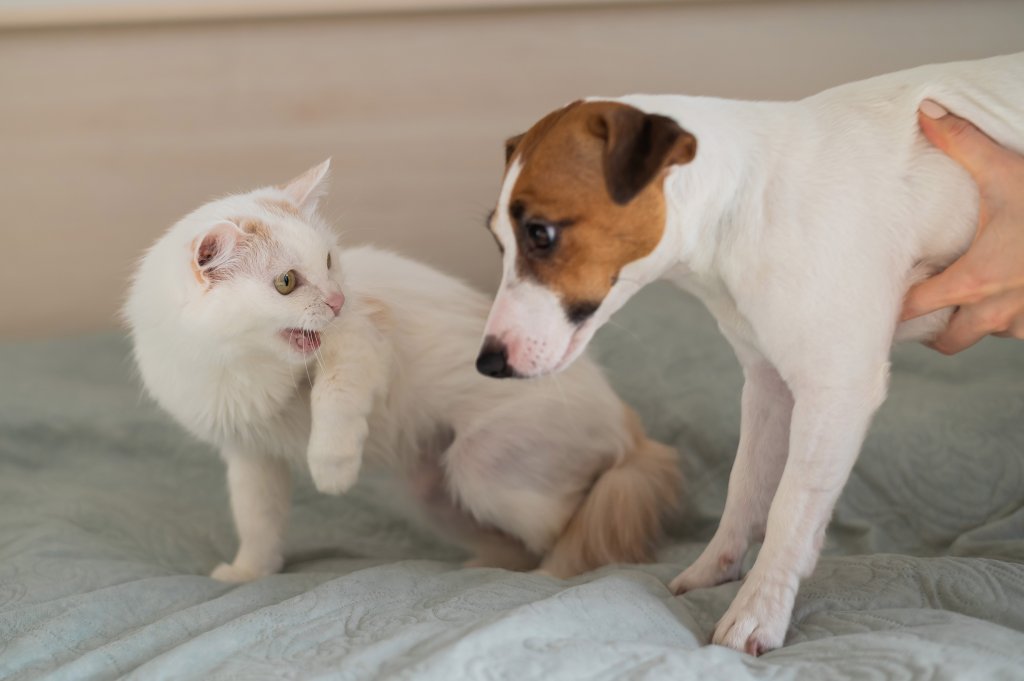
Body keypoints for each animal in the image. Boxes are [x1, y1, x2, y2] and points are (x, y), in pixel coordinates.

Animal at [123, 160, 679, 577]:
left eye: (330, 261)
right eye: (285, 282)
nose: (337, 300)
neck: (240, 364)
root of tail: (631, 429)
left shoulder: (361, 339)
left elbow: (333, 403)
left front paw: (332, 471)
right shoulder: (250, 455)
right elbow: (257, 521)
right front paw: (247, 574)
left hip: (487, 472)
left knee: (575, 522)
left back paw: (551, 572)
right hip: (435, 492)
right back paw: (485, 569)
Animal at [473, 54, 1024, 655]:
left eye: (541, 234)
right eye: (498, 242)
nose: (487, 364)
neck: (745, 201)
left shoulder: (836, 390)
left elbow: (790, 509)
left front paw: (758, 611)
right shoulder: (768, 385)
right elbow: (746, 487)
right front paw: (716, 569)